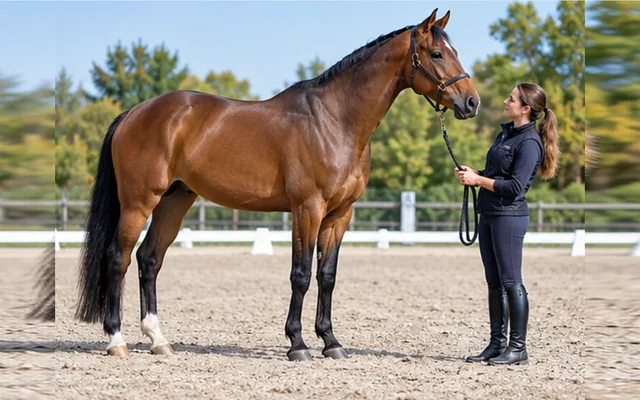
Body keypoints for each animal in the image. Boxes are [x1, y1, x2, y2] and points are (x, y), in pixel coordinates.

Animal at [75, 8, 480, 361]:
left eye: (456, 51)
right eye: (437, 53)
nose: (471, 102)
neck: (335, 121)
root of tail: (134, 112)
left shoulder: (340, 215)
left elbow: (327, 276)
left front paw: (331, 342)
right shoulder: (308, 209)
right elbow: (300, 275)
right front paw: (297, 344)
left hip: (174, 201)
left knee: (149, 260)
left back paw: (158, 340)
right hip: (139, 202)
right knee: (119, 258)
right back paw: (116, 341)